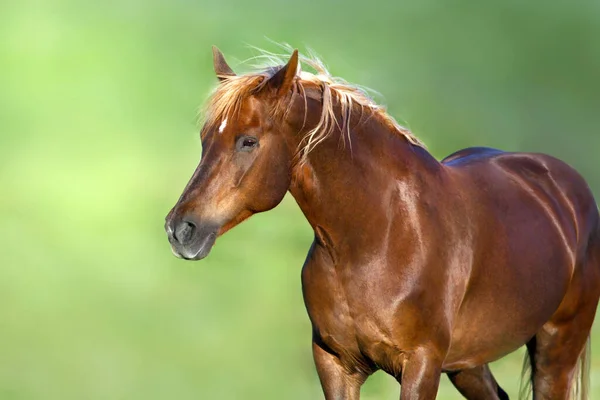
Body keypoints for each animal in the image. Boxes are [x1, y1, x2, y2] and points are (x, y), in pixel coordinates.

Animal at [164, 47, 600, 400]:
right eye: (205, 138)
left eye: (248, 141)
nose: (179, 229)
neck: (378, 237)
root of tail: (565, 185)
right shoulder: (335, 363)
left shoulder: (421, 366)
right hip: (469, 363)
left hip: (556, 348)